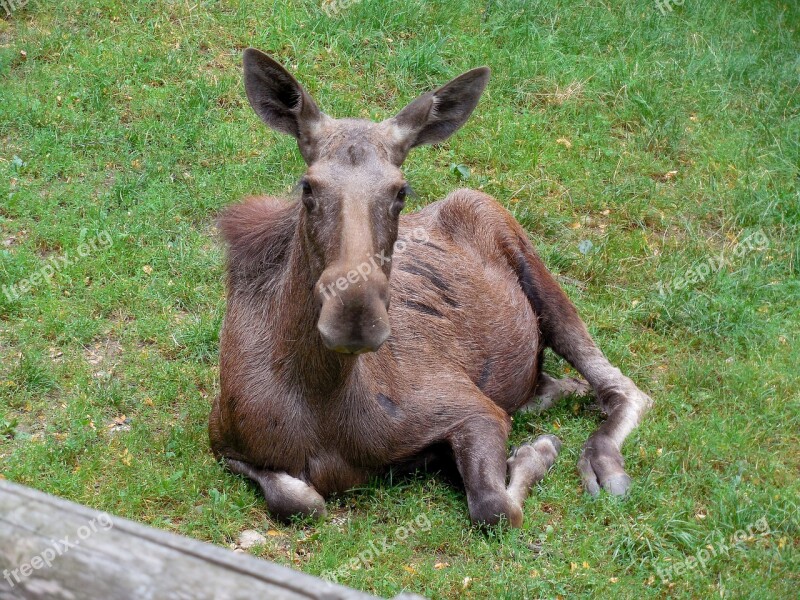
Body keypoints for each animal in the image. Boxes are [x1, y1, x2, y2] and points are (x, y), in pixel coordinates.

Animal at [206, 49, 648, 524]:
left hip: (530, 264)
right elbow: (299, 500)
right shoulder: (221, 439)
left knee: (623, 386)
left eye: (401, 191)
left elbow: (494, 506)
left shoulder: (471, 407)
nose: (354, 319)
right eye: (308, 186)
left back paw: (602, 463)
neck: (323, 406)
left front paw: (537, 450)